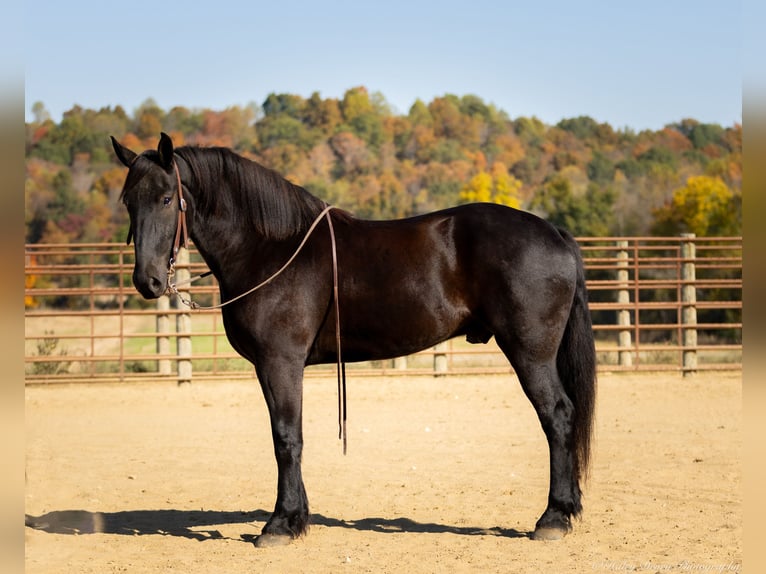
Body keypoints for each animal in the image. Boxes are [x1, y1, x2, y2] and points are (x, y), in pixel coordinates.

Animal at [111, 132, 596, 548]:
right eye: (129, 200)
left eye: (167, 198)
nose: (147, 282)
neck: (269, 250)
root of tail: (553, 233)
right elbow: (290, 437)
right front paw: (298, 518)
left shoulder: (279, 362)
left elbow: (286, 437)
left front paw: (280, 524)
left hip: (530, 354)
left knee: (558, 416)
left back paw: (553, 518)